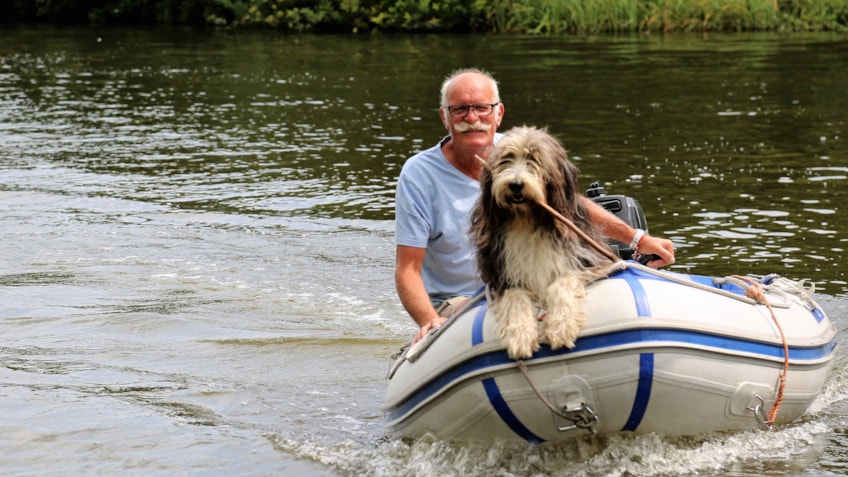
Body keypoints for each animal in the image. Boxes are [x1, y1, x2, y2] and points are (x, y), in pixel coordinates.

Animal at [469, 126, 613, 359]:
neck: (527, 220)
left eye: (534, 159)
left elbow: (562, 283)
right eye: (506, 159)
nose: (516, 185)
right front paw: (519, 335)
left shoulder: (590, 261)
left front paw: (560, 327)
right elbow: (515, 296)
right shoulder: (501, 275)